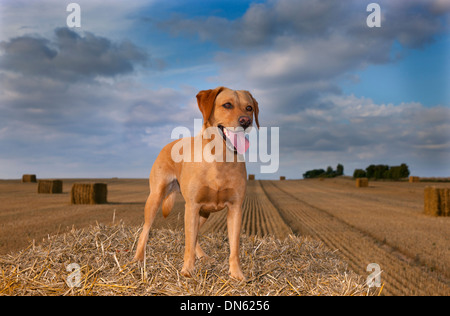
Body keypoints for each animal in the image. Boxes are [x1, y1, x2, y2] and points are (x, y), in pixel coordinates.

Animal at [134, 85, 258, 280]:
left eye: (249, 108)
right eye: (227, 105)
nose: (246, 121)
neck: (220, 158)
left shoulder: (235, 208)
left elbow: (234, 247)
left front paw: (237, 273)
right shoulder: (192, 206)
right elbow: (188, 243)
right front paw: (187, 270)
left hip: (203, 212)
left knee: (195, 236)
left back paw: (203, 256)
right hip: (155, 198)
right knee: (145, 230)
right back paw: (138, 259)